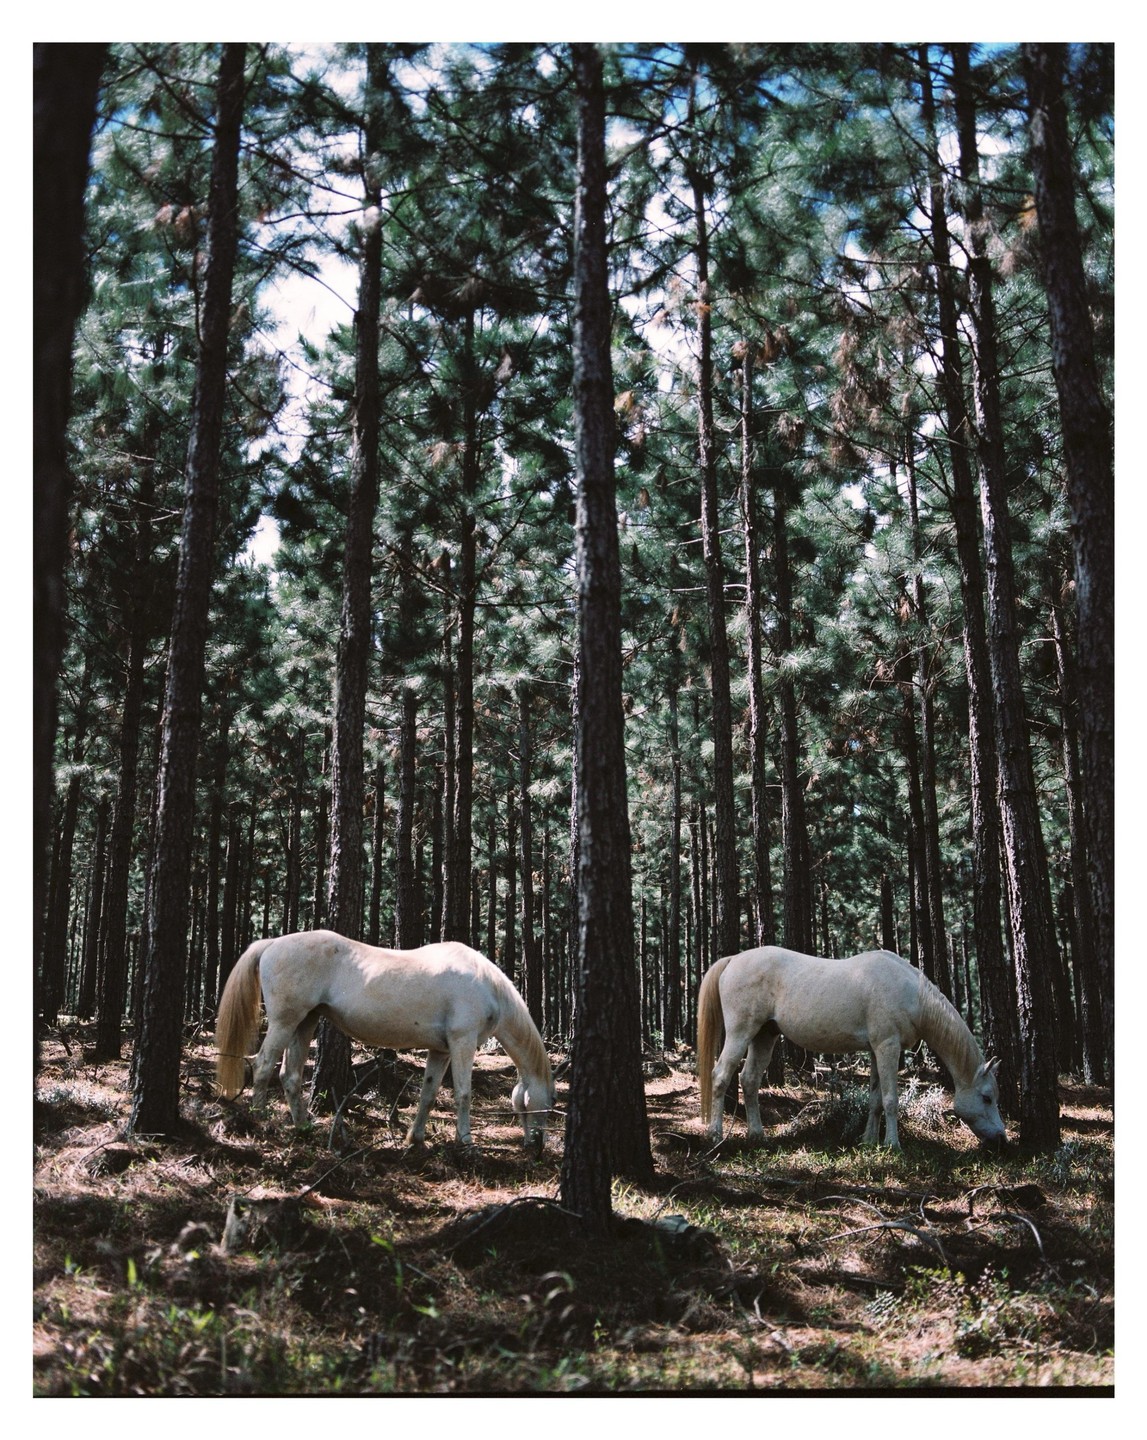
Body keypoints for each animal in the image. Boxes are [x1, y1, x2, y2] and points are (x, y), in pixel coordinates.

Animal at [215, 929, 554, 1149]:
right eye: (548, 1105)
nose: (535, 1146)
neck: (486, 985)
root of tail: (272, 943)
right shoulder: (463, 1042)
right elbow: (463, 1094)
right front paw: (466, 1143)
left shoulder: (441, 1050)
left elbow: (428, 1094)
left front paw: (415, 1139)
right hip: (285, 1021)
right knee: (262, 1065)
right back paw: (262, 1121)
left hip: (305, 1022)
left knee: (290, 1075)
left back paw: (304, 1127)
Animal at [697, 946, 1006, 1150]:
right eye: (987, 1097)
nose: (1001, 1138)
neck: (912, 995)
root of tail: (733, 960)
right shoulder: (888, 1047)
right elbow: (891, 1100)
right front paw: (892, 1146)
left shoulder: (876, 1050)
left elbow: (875, 1100)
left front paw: (869, 1141)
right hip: (741, 1032)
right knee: (721, 1075)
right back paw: (715, 1135)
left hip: (764, 1036)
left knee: (749, 1080)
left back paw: (757, 1135)